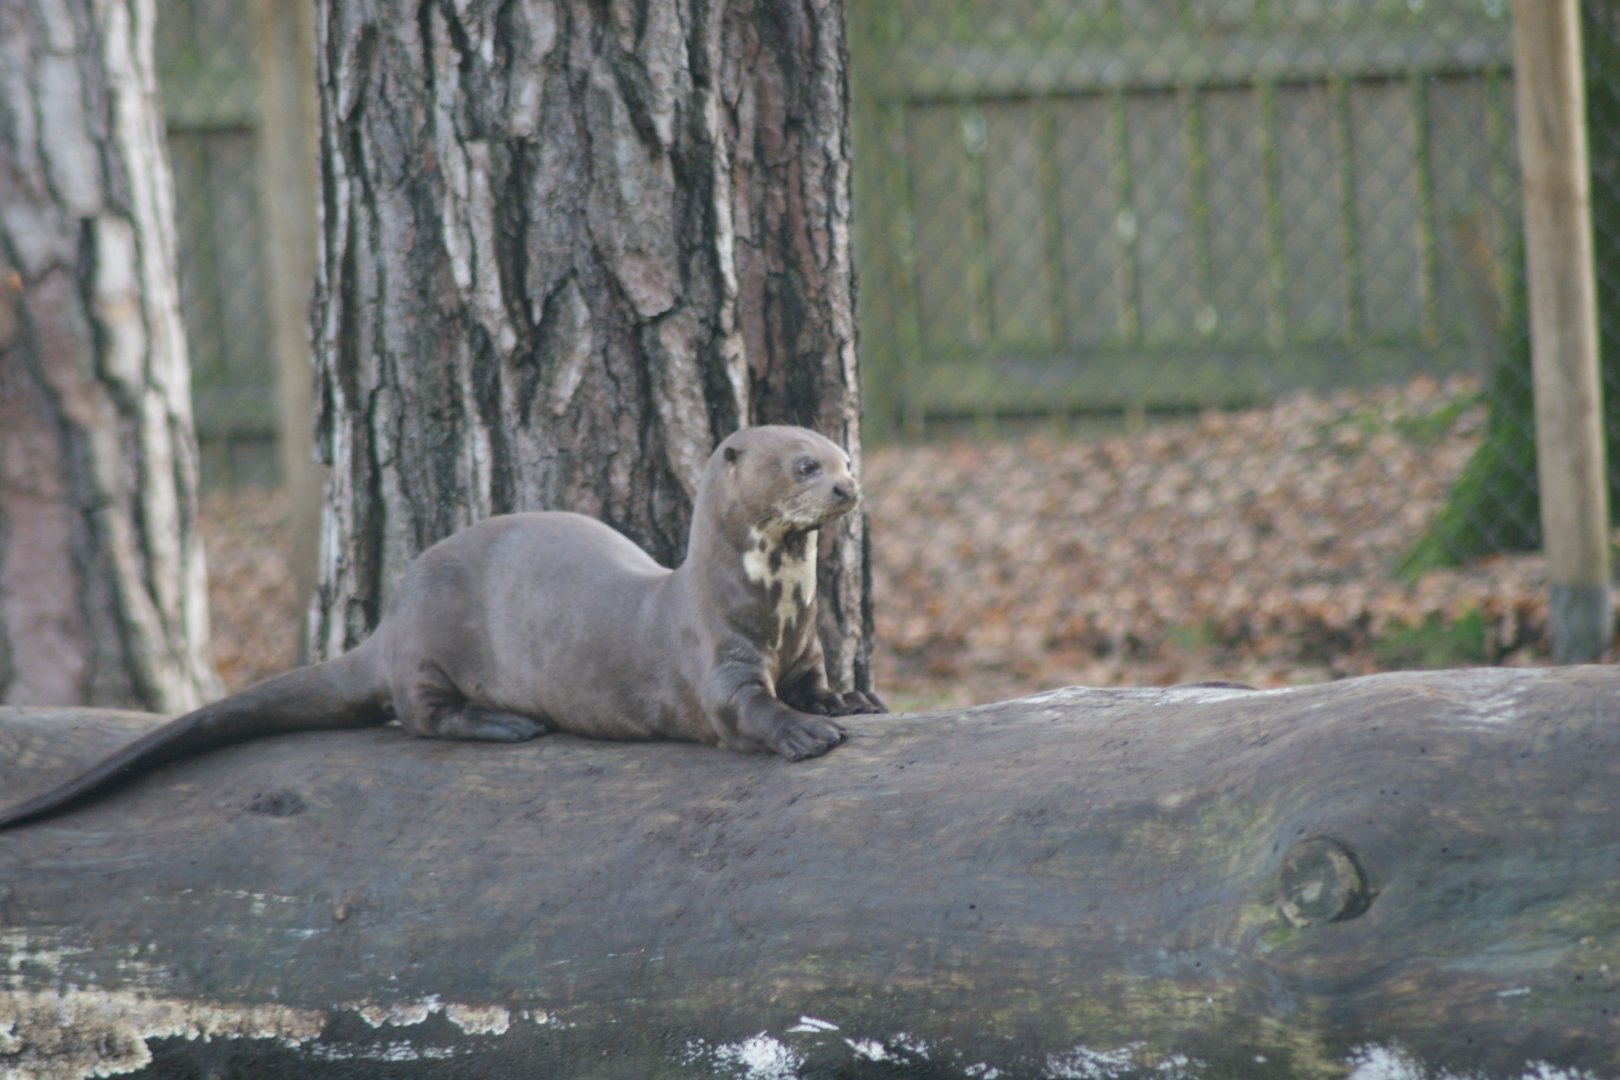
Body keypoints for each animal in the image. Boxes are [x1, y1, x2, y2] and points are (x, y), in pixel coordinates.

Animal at [0, 426, 884, 829]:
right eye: (805, 464)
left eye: (847, 456)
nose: (848, 489)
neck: (773, 607)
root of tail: (389, 620)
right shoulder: (716, 657)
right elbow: (748, 708)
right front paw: (803, 734)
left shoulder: (804, 643)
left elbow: (814, 681)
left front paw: (848, 702)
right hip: (428, 648)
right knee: (418, 717)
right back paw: (502, 724)